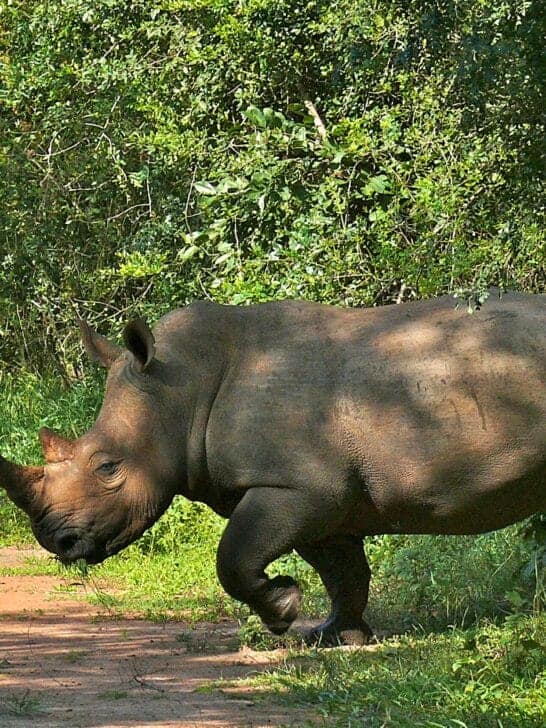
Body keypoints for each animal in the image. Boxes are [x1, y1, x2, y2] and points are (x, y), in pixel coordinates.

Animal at [1, 290, 545, 644]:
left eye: (109, 467)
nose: (57, 541)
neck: (182, 388)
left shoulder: (298, 487)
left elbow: (234, 558)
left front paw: (283, 610)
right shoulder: (324, 499)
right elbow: (344, 572)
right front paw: (335, 636)